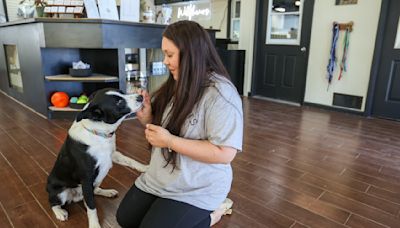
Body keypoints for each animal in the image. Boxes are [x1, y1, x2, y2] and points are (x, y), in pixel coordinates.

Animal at [46, 88, 148, 227]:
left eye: (122, 92)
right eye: (119, 102)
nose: (140, 97)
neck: (98, 134)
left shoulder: (112, 155)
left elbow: (130, 160)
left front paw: (145, 167)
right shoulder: (86, 179)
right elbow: (92, 208)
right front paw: (94, 224)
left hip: (98, 178)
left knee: (93, 192)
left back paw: (107, 192)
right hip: (60, 193)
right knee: (54, 203)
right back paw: (60, 212)